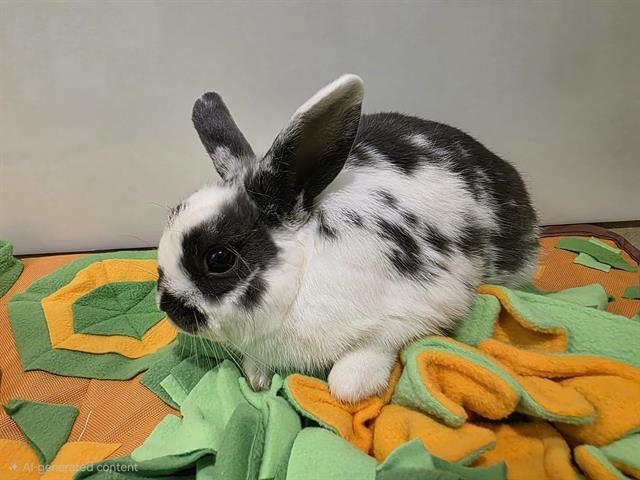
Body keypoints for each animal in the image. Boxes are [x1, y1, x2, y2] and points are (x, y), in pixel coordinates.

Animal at [156, 74, 539, 403]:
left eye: (220, 258)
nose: (166, 306)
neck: (305, 271)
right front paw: (256, 379)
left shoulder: (419, 307)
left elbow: (366, 357)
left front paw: (352, 386)